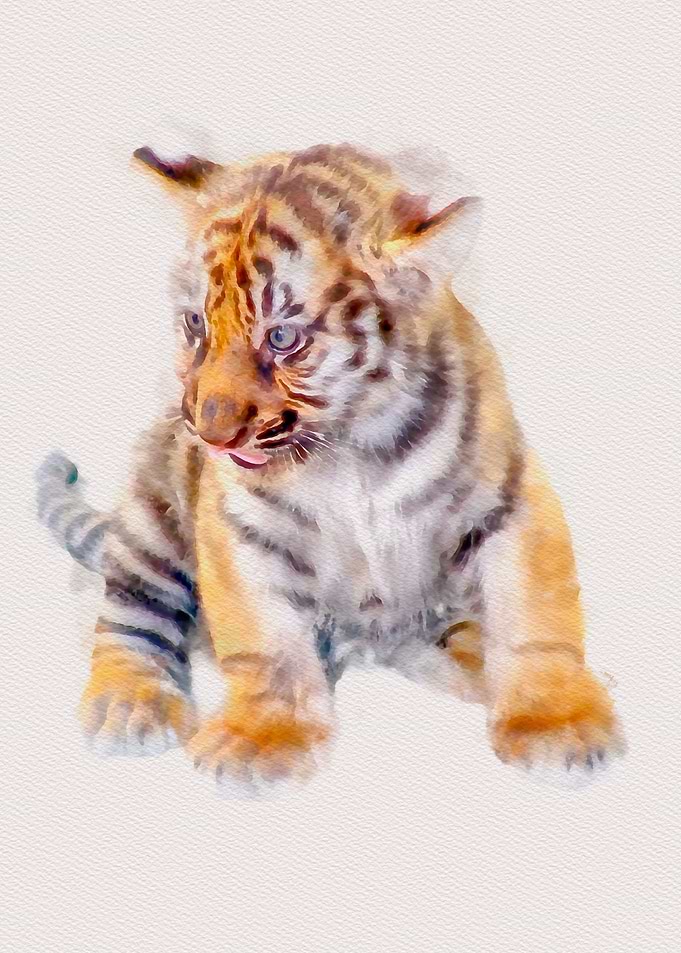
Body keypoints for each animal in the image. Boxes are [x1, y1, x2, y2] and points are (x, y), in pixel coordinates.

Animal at [37, 141, 624, 788]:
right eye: (195, 325)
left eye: (283, 338)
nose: (210, 433)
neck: (350, 449)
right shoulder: (237, 526)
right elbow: (263, 639)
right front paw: (260, 736)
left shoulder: (510, 499)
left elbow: (535, 616)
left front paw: (555, 723)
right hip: (151, 516)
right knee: (130, 616)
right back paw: (129, 704)